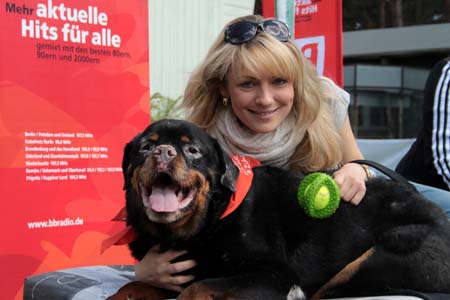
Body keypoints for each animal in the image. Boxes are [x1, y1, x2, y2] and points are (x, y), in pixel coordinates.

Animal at [108, 119, 450, 300]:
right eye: (146, 147)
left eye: (192, 150)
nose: (163, 152)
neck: (208, 222)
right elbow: (132, 284)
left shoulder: (271, 273)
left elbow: (198, 287)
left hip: (376, 256)